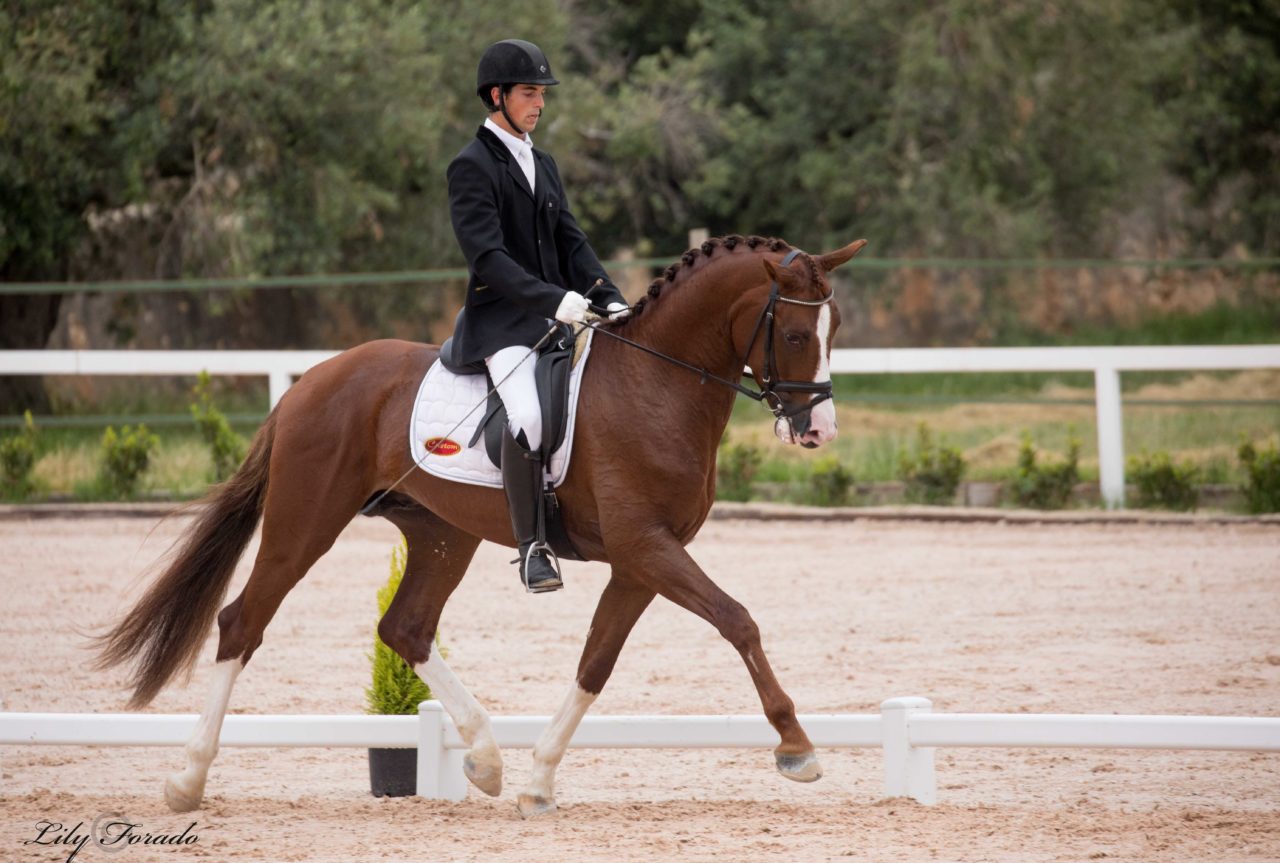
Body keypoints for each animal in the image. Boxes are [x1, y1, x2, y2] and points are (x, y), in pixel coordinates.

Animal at [94, 233, 865, 814]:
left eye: (835, 331)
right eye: (796, 332)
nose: (819, 430)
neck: (657, 386)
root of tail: (311, 381)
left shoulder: (642, 558)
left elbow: (596, 661)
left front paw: (538, 782)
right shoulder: (646, 546)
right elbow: (738, 620)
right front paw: (797, 747)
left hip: (442, 533)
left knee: (405, 627)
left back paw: (487, 759)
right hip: (303, 523)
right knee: (243, 623)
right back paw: (186, 780)